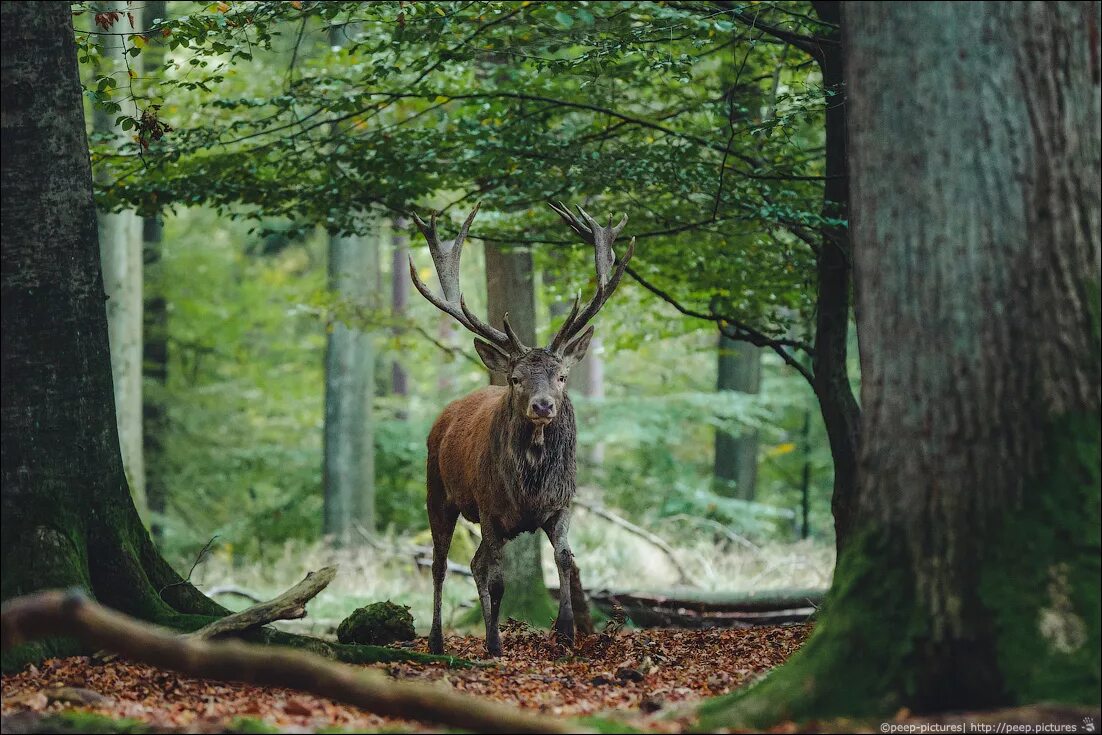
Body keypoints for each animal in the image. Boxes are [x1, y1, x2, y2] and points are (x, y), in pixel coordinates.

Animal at [409, 201, 639, 656]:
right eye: (516, 378)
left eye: (563, 376)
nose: (543, 405)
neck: (529, 488)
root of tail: (443, 416)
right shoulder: (491, 509)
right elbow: (499, 579)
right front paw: (496, 643)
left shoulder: (562, 503)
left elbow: (565, 559)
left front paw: (565, 631)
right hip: (437, 491)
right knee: (442, 563)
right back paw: (440, 641)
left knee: (474, 562)